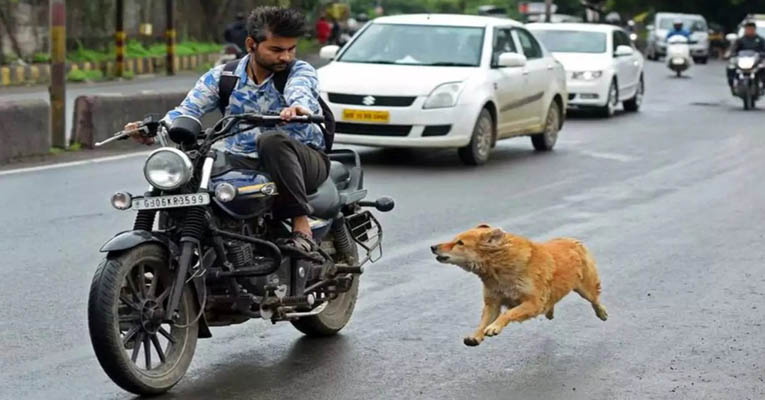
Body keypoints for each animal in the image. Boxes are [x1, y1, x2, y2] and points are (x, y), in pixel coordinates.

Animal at [432, 223, 604, 346]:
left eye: (459, 243)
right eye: (454, 239)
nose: (432, 247)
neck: (498, 268)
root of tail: (572, 240)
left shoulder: (532, 303)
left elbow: (508, 314)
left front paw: (494, 327)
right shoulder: (493, 302)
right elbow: (484, 320)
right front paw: (475, 336)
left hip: (586, 288)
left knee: (595, 299)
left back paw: (602, 313)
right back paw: (549, 311)